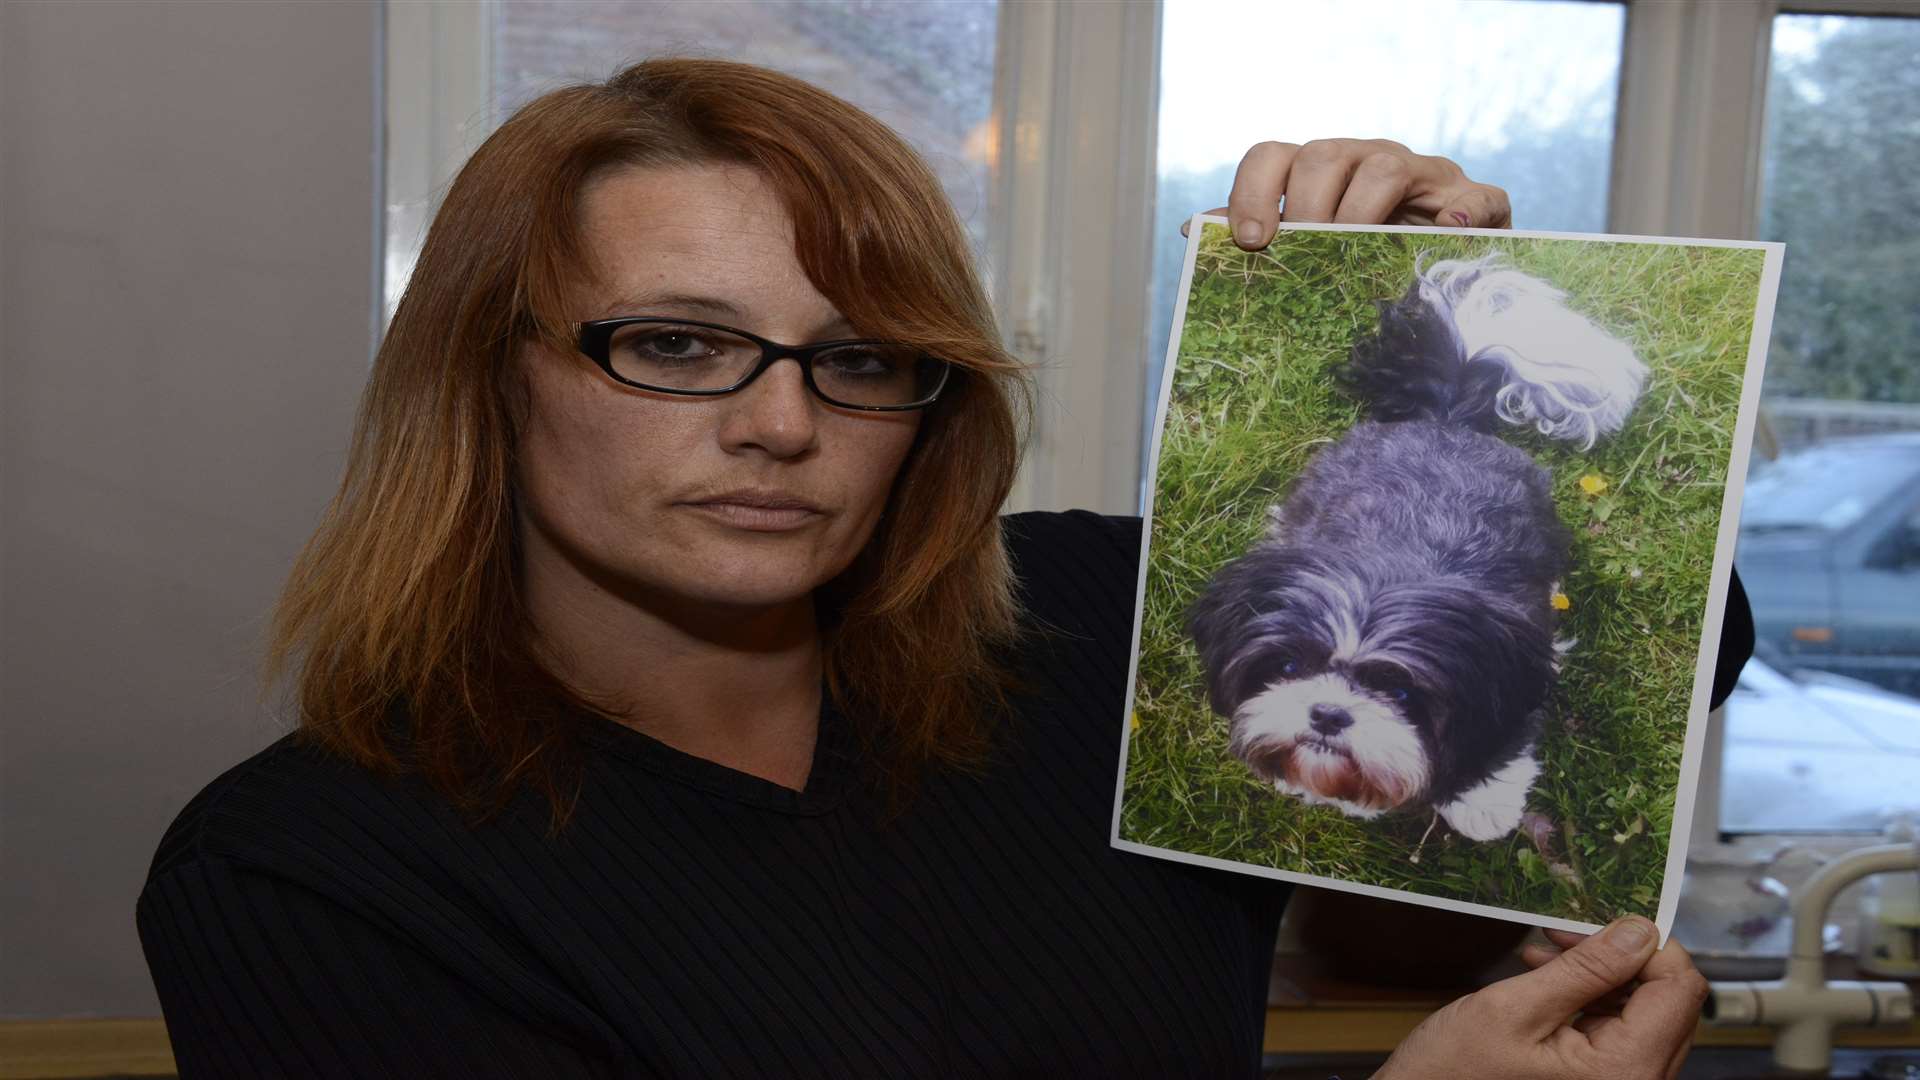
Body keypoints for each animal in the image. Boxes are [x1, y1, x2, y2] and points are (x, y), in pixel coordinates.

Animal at [1190, 251, 1643, 841]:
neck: (1393, 568)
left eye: (1401, 694)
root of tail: (1443, 418)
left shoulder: (1510, 675)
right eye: (1288, 667)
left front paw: (1480, 803)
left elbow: (1498, 749)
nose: (1328, 713)